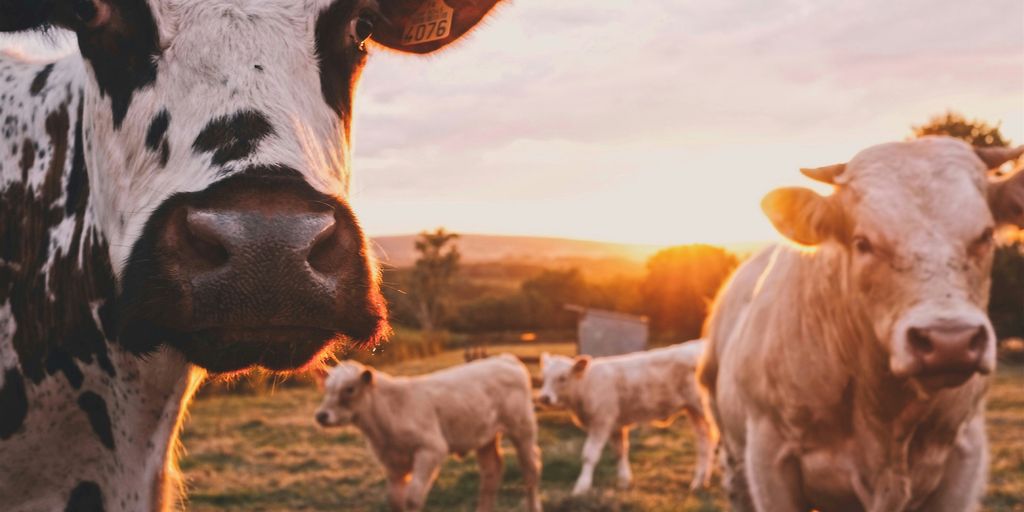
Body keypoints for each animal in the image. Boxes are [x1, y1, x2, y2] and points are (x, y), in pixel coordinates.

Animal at [314, 356, 543, 512]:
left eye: (350, 389)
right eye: (326, 387)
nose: (321, 415)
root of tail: (504, 358)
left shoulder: (431, 449)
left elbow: (412, 499)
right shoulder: (392, 462)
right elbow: (395, 501)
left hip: (523, 428)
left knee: (531, 469)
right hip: (485, 437)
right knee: (491, 473)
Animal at [537, 341, 714, 495]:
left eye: (562, 377)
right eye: (544, 377)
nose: (544, 397)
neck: (586, 385)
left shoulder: (601, 422)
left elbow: (589, 455)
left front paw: (581, 486)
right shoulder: (616, 425)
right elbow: (620, 451)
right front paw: (624, 481)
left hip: (703, 408)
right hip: (693, 411)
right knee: (704, 442)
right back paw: (700, 481)